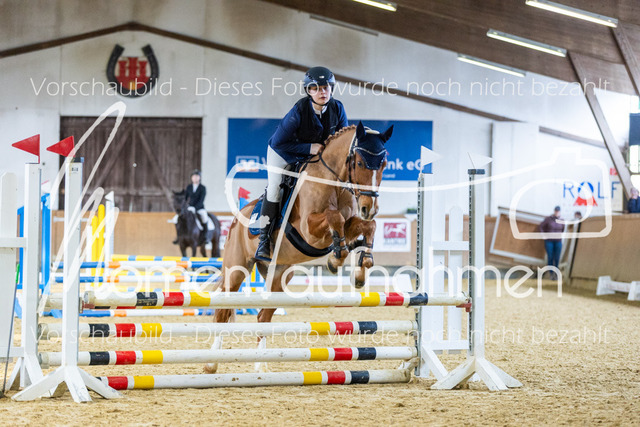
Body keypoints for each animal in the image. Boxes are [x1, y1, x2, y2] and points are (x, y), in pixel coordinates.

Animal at [204, 121, 392, 373]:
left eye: (384, 164)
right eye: (360, 163)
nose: (369, 207)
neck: (332, 181)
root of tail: (236, 219)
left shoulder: (350, 222)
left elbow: (367, 226)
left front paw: (360, 268)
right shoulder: (309, 230)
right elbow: (334, 218)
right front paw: (336, 259)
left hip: (279, 276)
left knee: (263, 316)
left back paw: (260, 367)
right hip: (236, 270)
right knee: (223, 311)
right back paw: (211, 363)